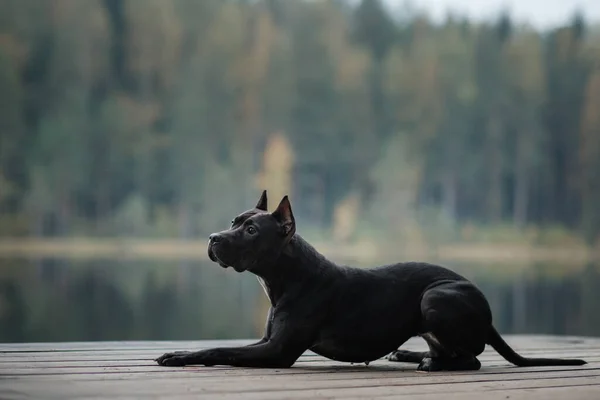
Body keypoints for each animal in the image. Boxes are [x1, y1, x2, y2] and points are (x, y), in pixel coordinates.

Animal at [156, 191, 584, 372]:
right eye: (233, 221)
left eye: (250, 230)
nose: (213, 239)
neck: (286, 277)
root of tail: (488, 314)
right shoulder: (267, 341)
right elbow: (222, 347)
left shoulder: (276, 351)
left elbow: (219, 349)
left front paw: (179, 356)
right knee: (448, 348)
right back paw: (410, 354)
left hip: (435, 295)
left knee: (473, 357)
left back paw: (432, 364)